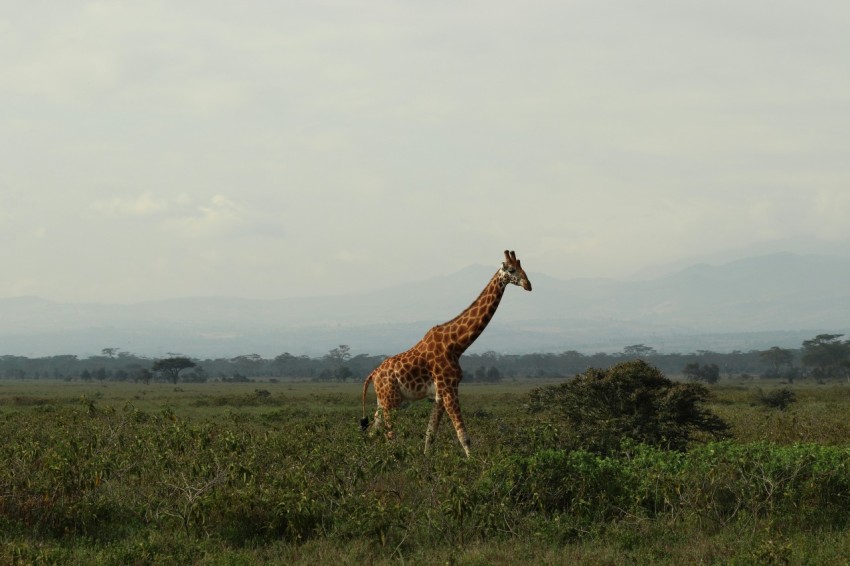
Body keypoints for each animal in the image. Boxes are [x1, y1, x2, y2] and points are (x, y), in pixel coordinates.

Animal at [358, 251, 528, 460]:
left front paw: (426, 460)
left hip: (383, 401)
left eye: (522, 267)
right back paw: (394, 458)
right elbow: (463, 435)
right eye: (511, 270)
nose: (528, 284)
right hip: (391, 401)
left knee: (374, 431)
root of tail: (373, 374)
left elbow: (430, 434)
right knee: (389, 435)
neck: (456, 344)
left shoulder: (440, 395)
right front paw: (474, 463)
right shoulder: (449, 388)